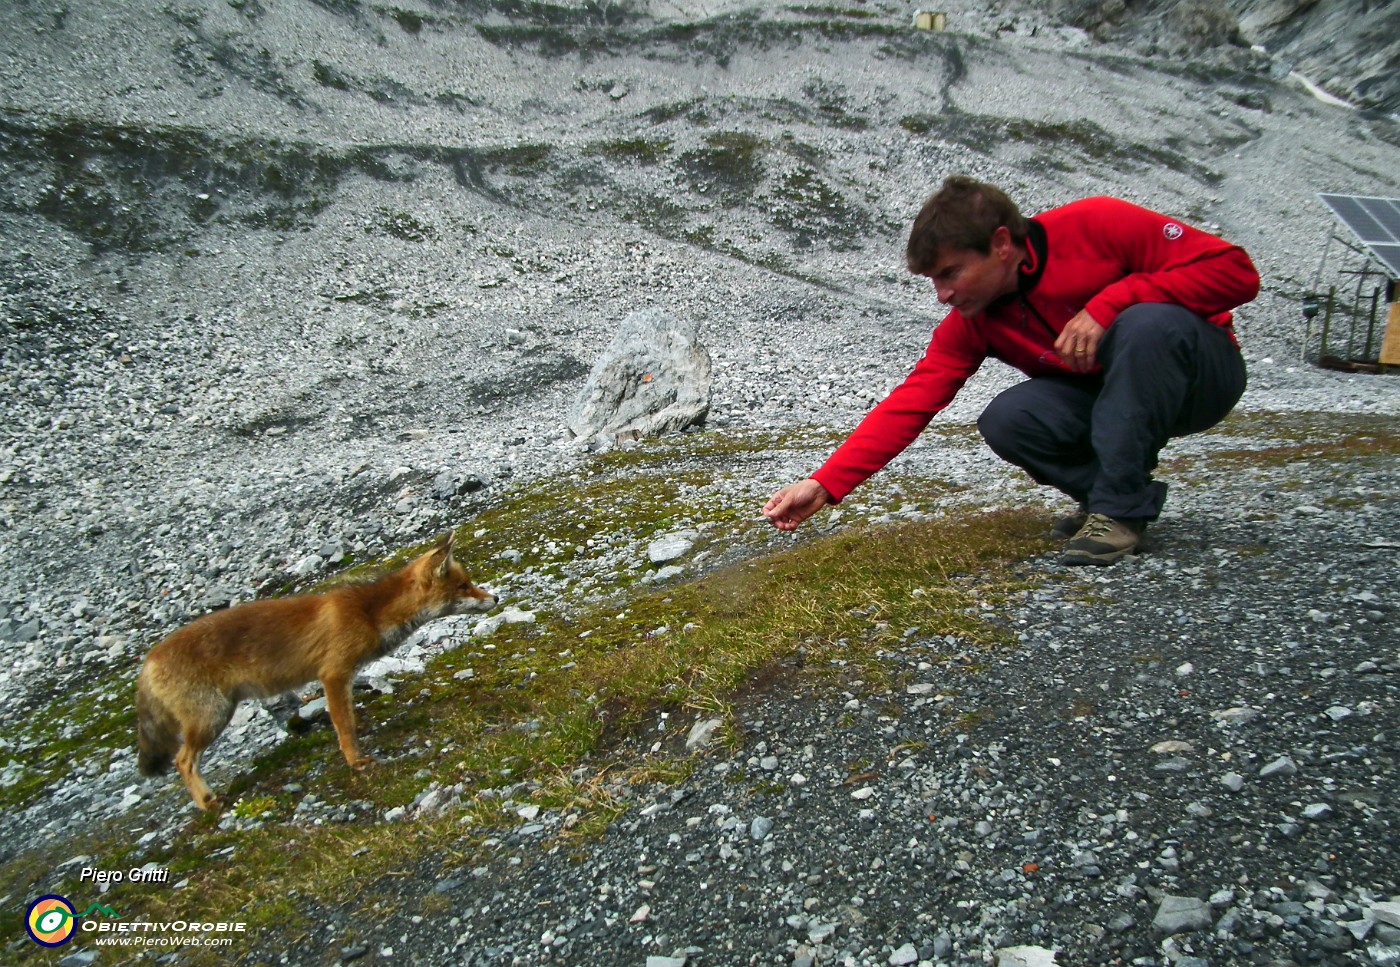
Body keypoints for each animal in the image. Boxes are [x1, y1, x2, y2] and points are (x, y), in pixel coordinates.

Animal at [136, 534, 498, 811]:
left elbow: (347, 718)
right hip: (213, 716)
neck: (368, 612)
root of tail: (148, 659)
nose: (495, 597)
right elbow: (344, 725)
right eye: (463, 586)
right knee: (183, 761)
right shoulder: (334, 673)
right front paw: (356, 761)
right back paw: (207, 803)